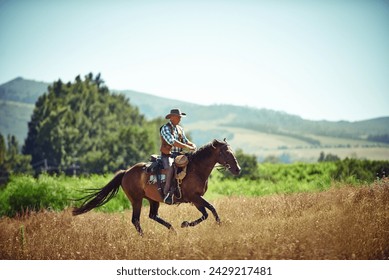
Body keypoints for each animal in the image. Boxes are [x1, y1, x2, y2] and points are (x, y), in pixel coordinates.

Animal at [72, 139, 239, 235]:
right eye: (226, 152)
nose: (238, 169)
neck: (196, 169)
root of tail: (126, 172)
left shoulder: (195, 199)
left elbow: (206, 213)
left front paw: (185, 224)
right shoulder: (194, 197)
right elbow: (211, 209)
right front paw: (219, 225)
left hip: (153, 199)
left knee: (152, 215)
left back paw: (173, 230)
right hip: (136, 200)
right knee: (136, 220)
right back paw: (145, 237)